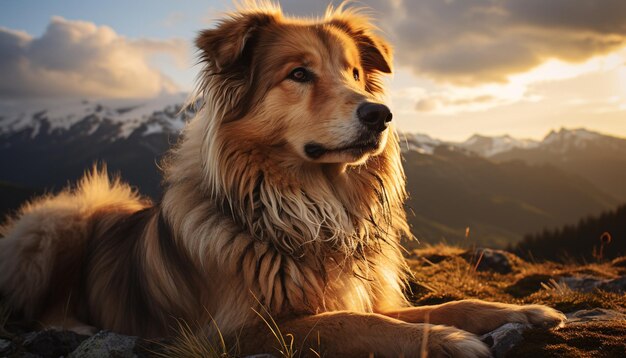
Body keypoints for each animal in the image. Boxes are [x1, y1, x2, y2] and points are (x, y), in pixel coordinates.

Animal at [0, 3, 564, 358]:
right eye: (298, 74)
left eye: (354, 73)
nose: (380, 114)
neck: (306, 212)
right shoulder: (232, 334)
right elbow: (353, 324)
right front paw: (447, 341)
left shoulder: (362, 294)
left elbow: (441, 306)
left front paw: (522, 312)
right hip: (59, 219)